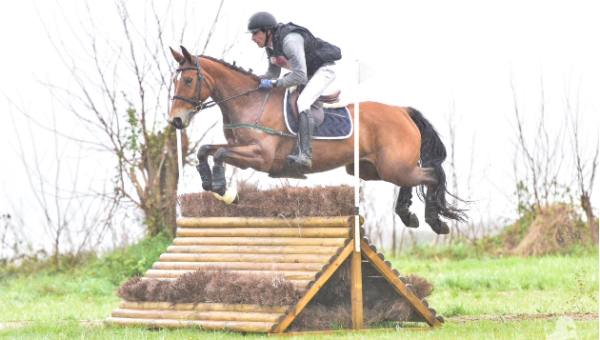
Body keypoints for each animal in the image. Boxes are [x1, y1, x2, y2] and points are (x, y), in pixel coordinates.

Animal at [166, 45, 466, 234]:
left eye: (189, 80)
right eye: (174, 81)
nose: (176, 121)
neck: (249, 102)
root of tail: (402, 110)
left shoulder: (260, 157)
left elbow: (218, 154)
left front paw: (225, 191)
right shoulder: (241, 149)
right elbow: (206, 150)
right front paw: (211, 183)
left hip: (392, 166)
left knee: (430, 176)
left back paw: (435, 222)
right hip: (371, 169)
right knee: (411, 179)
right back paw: (408, 215)